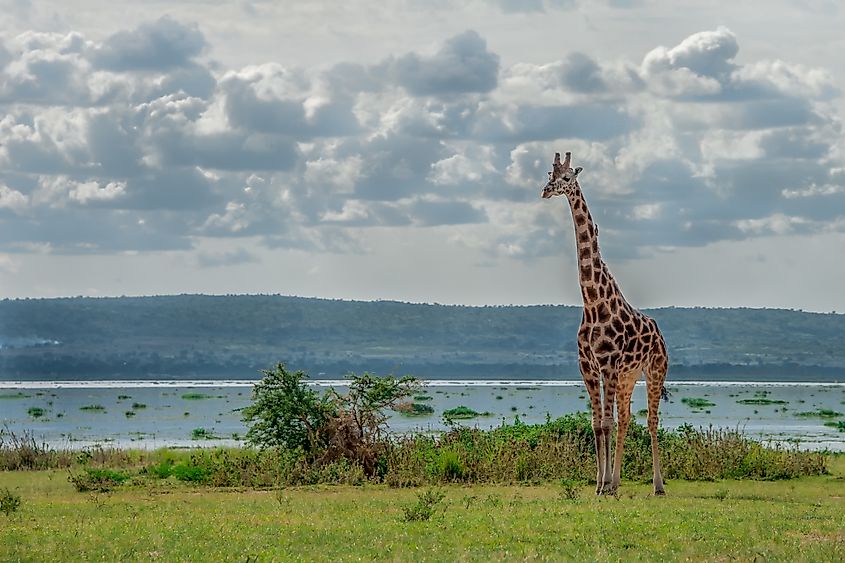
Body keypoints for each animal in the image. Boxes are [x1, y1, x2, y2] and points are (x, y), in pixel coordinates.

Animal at [540, 152, 664, 496]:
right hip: (628, 378)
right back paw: (618, 481)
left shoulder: (607, 364)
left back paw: (657, 485)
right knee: (626, 420)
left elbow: (606, 423)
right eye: (549, 175)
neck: (593, 302)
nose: (546, 190)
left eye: (568, 178)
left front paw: (605, 483)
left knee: (651, 421)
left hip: (654, 370)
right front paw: (600, 483)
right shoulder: (587, 366)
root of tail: (660, 334)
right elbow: (598, 423)